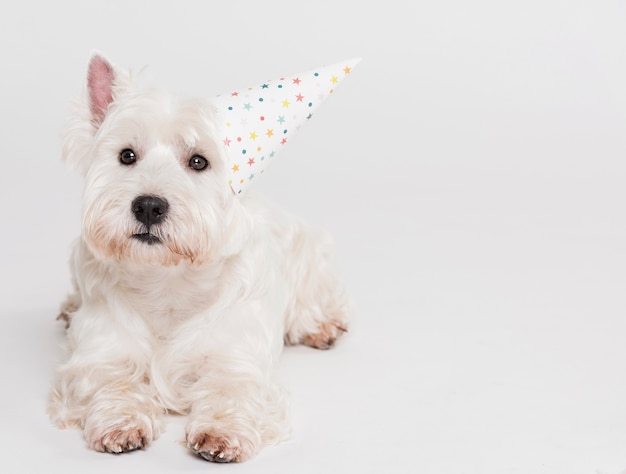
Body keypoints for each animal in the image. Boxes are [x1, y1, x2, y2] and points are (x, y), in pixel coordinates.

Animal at [47, 52, 352, 462]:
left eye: (198, 162)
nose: (148, 206)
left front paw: (221, 434)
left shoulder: (236, 358)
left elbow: (231, 390)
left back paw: (322, 327)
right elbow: (113, 382)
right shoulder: (100, 354)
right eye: (127, 155)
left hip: (311, 253)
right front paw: (121, 423)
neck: (167, 282)